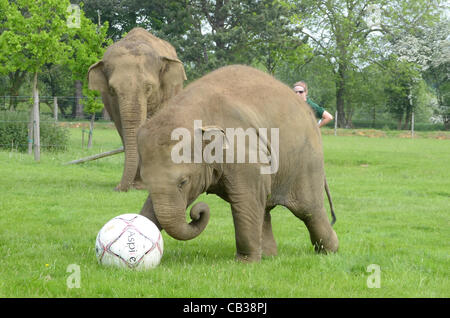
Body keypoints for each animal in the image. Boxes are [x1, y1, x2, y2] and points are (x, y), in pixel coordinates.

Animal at [88, 27, 186, 191]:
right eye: (112, 89)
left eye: (149, 88)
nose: (117, 188)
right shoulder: (111, 103)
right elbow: (122, 128)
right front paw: (137, 185)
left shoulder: (167, 92)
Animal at [137, 65, 338, 264]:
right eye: (146, 181)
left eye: (183, 182)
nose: (196, 213)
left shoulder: (244, 151)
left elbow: (245, 198)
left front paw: (245, 263)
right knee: (264, 208)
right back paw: (269, 256)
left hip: (307, 161)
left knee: (309, 210)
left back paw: (330, 251)